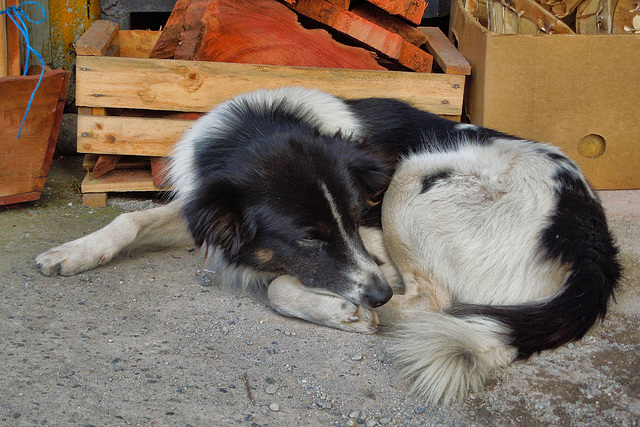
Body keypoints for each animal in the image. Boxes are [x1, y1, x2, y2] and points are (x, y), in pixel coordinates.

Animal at [35, 86, 620, 404]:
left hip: (413, 180)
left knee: (431, 304)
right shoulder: (206, 206)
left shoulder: (372, 240)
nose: (377, 294)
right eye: (308, 236)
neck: (255, 129)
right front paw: (71, 252)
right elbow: (128, 221)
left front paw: (337, 308)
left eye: (358, 215)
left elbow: (280, 287)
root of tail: (591, 235)